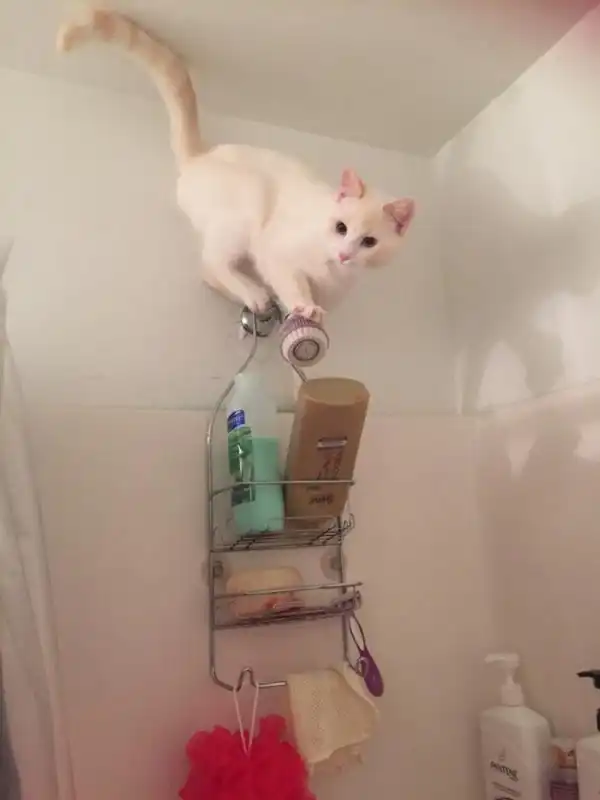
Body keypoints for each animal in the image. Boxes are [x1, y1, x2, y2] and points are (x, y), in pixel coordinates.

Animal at [57, 8, 415, 322]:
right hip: (247, 203)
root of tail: (203, 154)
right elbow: (292, 284)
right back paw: (254, 293)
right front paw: (304, 308)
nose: (344, 253)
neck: (334, 272)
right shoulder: (275, 252)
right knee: (212, 264)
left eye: (369, 242)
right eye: (340, 227)